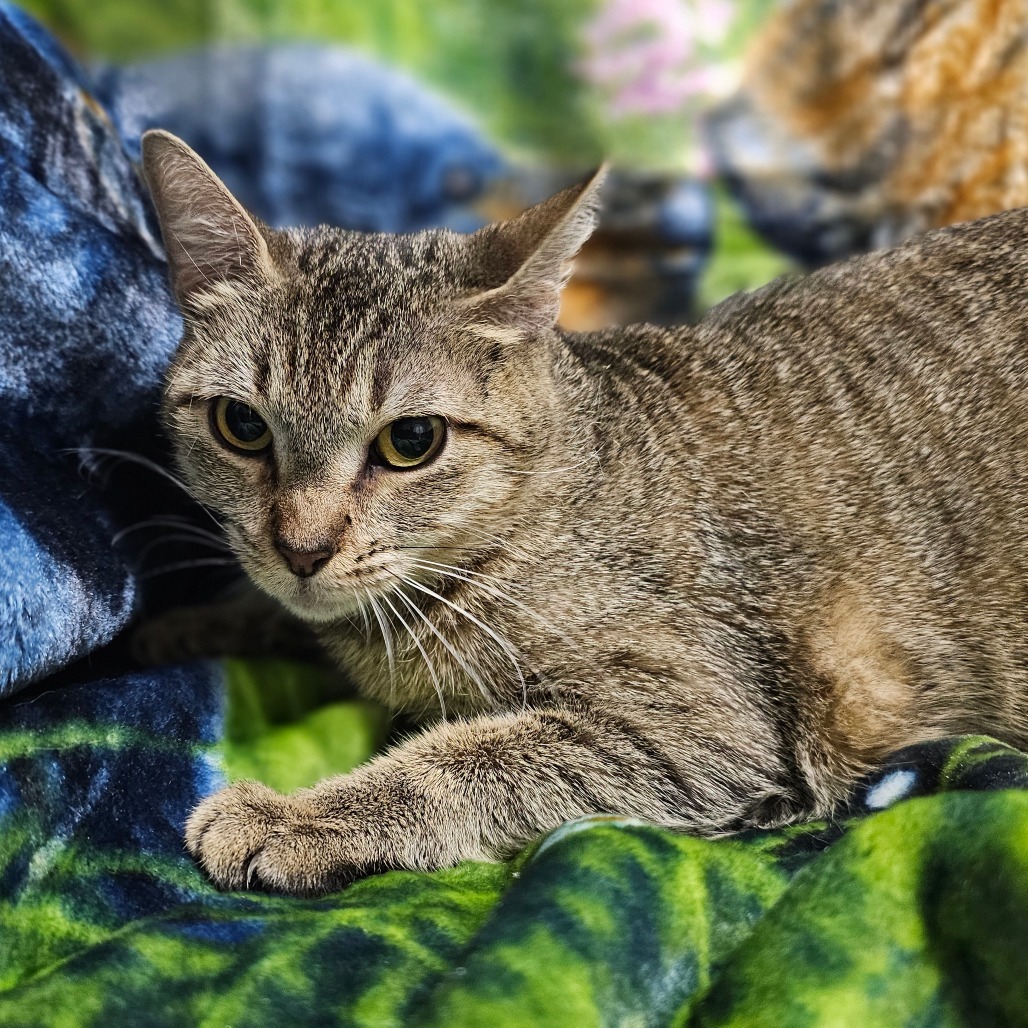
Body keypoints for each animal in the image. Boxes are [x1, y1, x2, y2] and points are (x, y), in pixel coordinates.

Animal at [142, 128, 1028, 896]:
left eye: (411, 440)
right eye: (242, 425)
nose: (303, 548)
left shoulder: (700, 722)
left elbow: (466, 760)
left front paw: (297, 816)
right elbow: (264, 613)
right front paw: (165, 631)